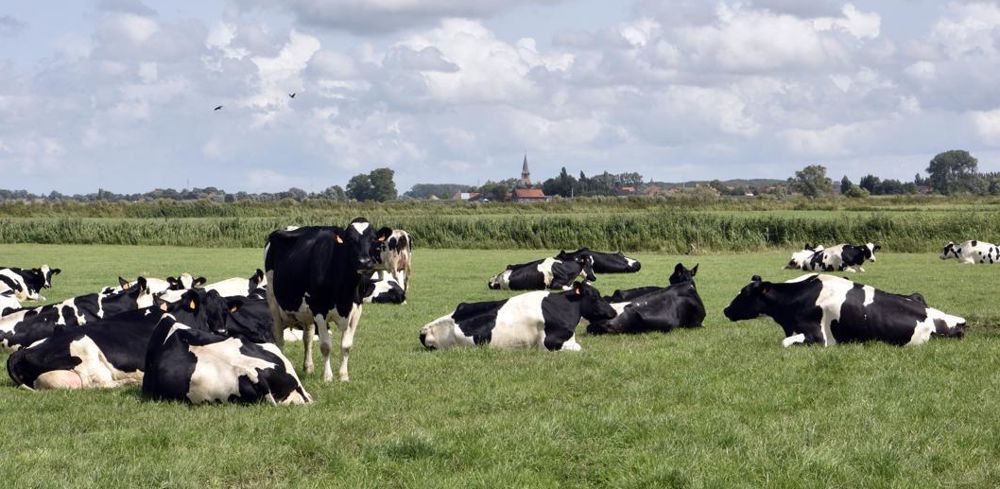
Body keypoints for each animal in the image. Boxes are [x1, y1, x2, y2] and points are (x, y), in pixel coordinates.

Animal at [6, 289, 231, 390]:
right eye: (206, 309)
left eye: (225, 310)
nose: (222, 331)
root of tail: (22, 351)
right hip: (86, 354)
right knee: (97, 383)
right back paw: (130, 381)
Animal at [265, 218, 392, 382]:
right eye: (350, 240)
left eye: (373, 239)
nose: (364, 262)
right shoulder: (319, 309)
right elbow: (325, 346)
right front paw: (328, 377)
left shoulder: (356, 310)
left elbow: (346, 345)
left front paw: (344, 376)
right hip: (273, 300)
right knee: (279, 339)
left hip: (306, 312)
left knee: (308, 338)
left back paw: (309, 367)